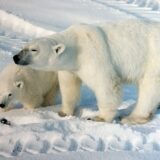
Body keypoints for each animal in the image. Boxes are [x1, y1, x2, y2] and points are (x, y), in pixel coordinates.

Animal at [12, 19, 160, 124]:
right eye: (24, 47)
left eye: (34, 50)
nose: (16, 57)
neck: (77, 44)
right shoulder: (71, 68)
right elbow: (69, 87)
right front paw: (63, 112)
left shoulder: (93, 56)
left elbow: (106, 84)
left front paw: (99, 118)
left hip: (152, 60)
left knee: (149, 88)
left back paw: (132, 117)